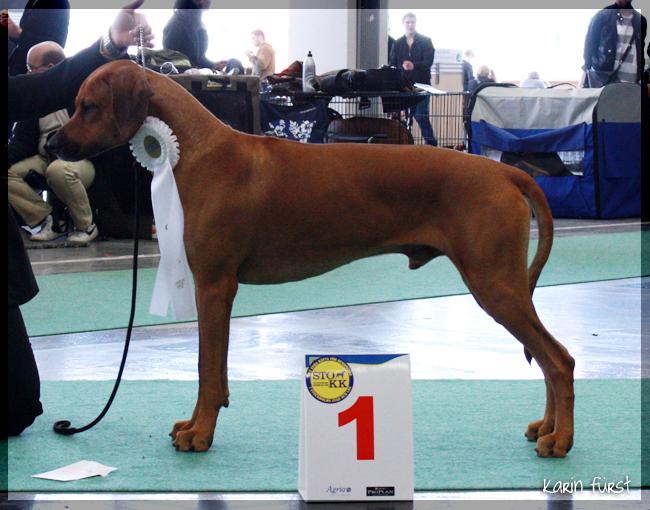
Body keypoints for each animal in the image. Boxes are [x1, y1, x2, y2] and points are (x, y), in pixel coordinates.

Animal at [49, 59, 572, 458]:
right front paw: (195, 425)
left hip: (494, 284)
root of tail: (506, 174)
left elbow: (206, 371)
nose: (51, 144)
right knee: (550, 358)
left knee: (559, 360)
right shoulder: (213, 288)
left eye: (88, 106)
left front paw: (200, 434)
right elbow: (210, 370)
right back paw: (545, 428)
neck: (197, 151)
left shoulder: (215, 286)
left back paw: (560, 439)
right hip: (505, 285)